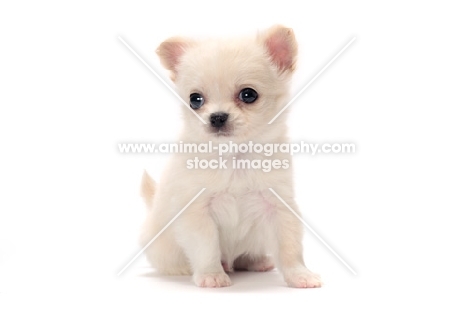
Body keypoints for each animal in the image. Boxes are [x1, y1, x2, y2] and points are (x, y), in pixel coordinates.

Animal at [139, 25, 322, 288]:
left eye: (248, 95)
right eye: (195, 100)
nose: (217, 117)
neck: (235, 157)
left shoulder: (279, 206)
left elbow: (290, 248)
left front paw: (300, 275)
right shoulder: (197, 213)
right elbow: (206, 248)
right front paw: (211, 275)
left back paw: (256, 261)